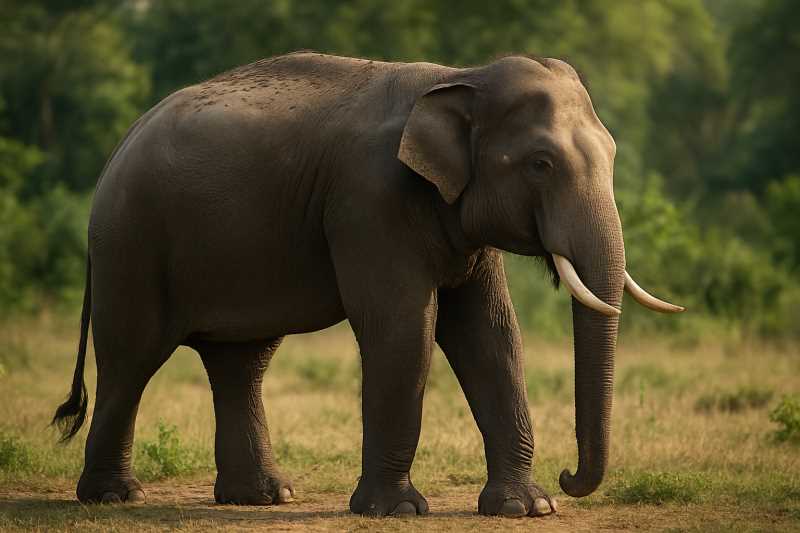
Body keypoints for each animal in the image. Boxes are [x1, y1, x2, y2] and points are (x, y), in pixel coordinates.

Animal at [52, 51, 683, 518]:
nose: (569, 473)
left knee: (240, 362)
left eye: (612, 154)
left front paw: (527, 508)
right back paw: (114, 497)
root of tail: (117, 152)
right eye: (540, 164)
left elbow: (491, 337)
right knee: (131, 358)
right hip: (131, 244)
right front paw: (396, 511)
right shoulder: (370, 199)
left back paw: (264, 497)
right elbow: (404, 331)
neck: (458, 77)